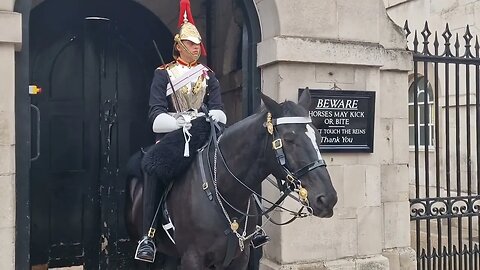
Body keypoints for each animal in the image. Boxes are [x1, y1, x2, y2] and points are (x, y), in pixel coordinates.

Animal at [125, 89, 340, 268]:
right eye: (288, 139)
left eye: (318, 137)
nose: (327, 199)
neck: (224, 192)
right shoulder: (193, 258)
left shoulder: (238, 257)